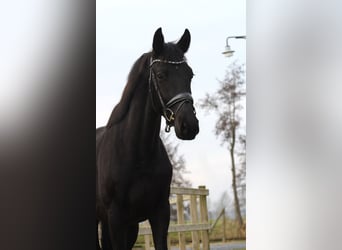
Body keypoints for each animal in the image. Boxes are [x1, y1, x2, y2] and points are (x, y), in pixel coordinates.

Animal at [96, 28, 199, 249]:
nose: (189, 126)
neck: (138, 154)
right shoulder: (115, 219)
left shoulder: (160, 213)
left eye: (190, 74)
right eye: (160, 75)